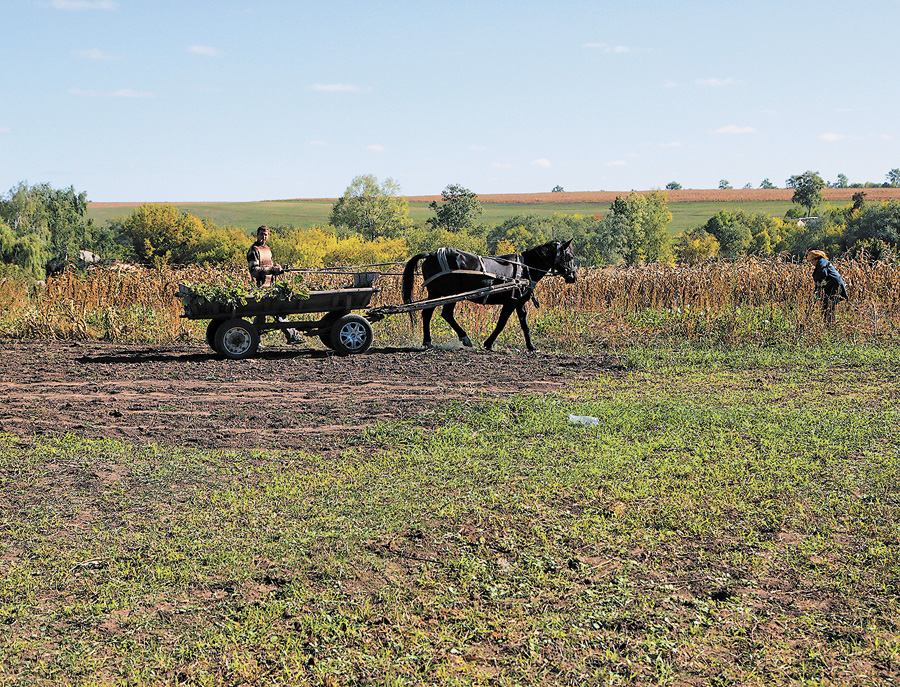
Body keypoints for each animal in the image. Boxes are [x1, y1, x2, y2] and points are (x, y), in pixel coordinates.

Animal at [400, 239, 576, 352]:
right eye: (570, 256)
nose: (574, 276)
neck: (525, 269)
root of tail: (431, 254)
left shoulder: (520, 303)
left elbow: (524, 324)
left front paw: (531, 346)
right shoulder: (510, 302)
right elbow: (501, 323)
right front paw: (488, 343)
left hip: (438, 294)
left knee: (431, 314)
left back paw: (430, 341)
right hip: (448, 293)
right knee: (441, 314)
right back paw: (459, 338)